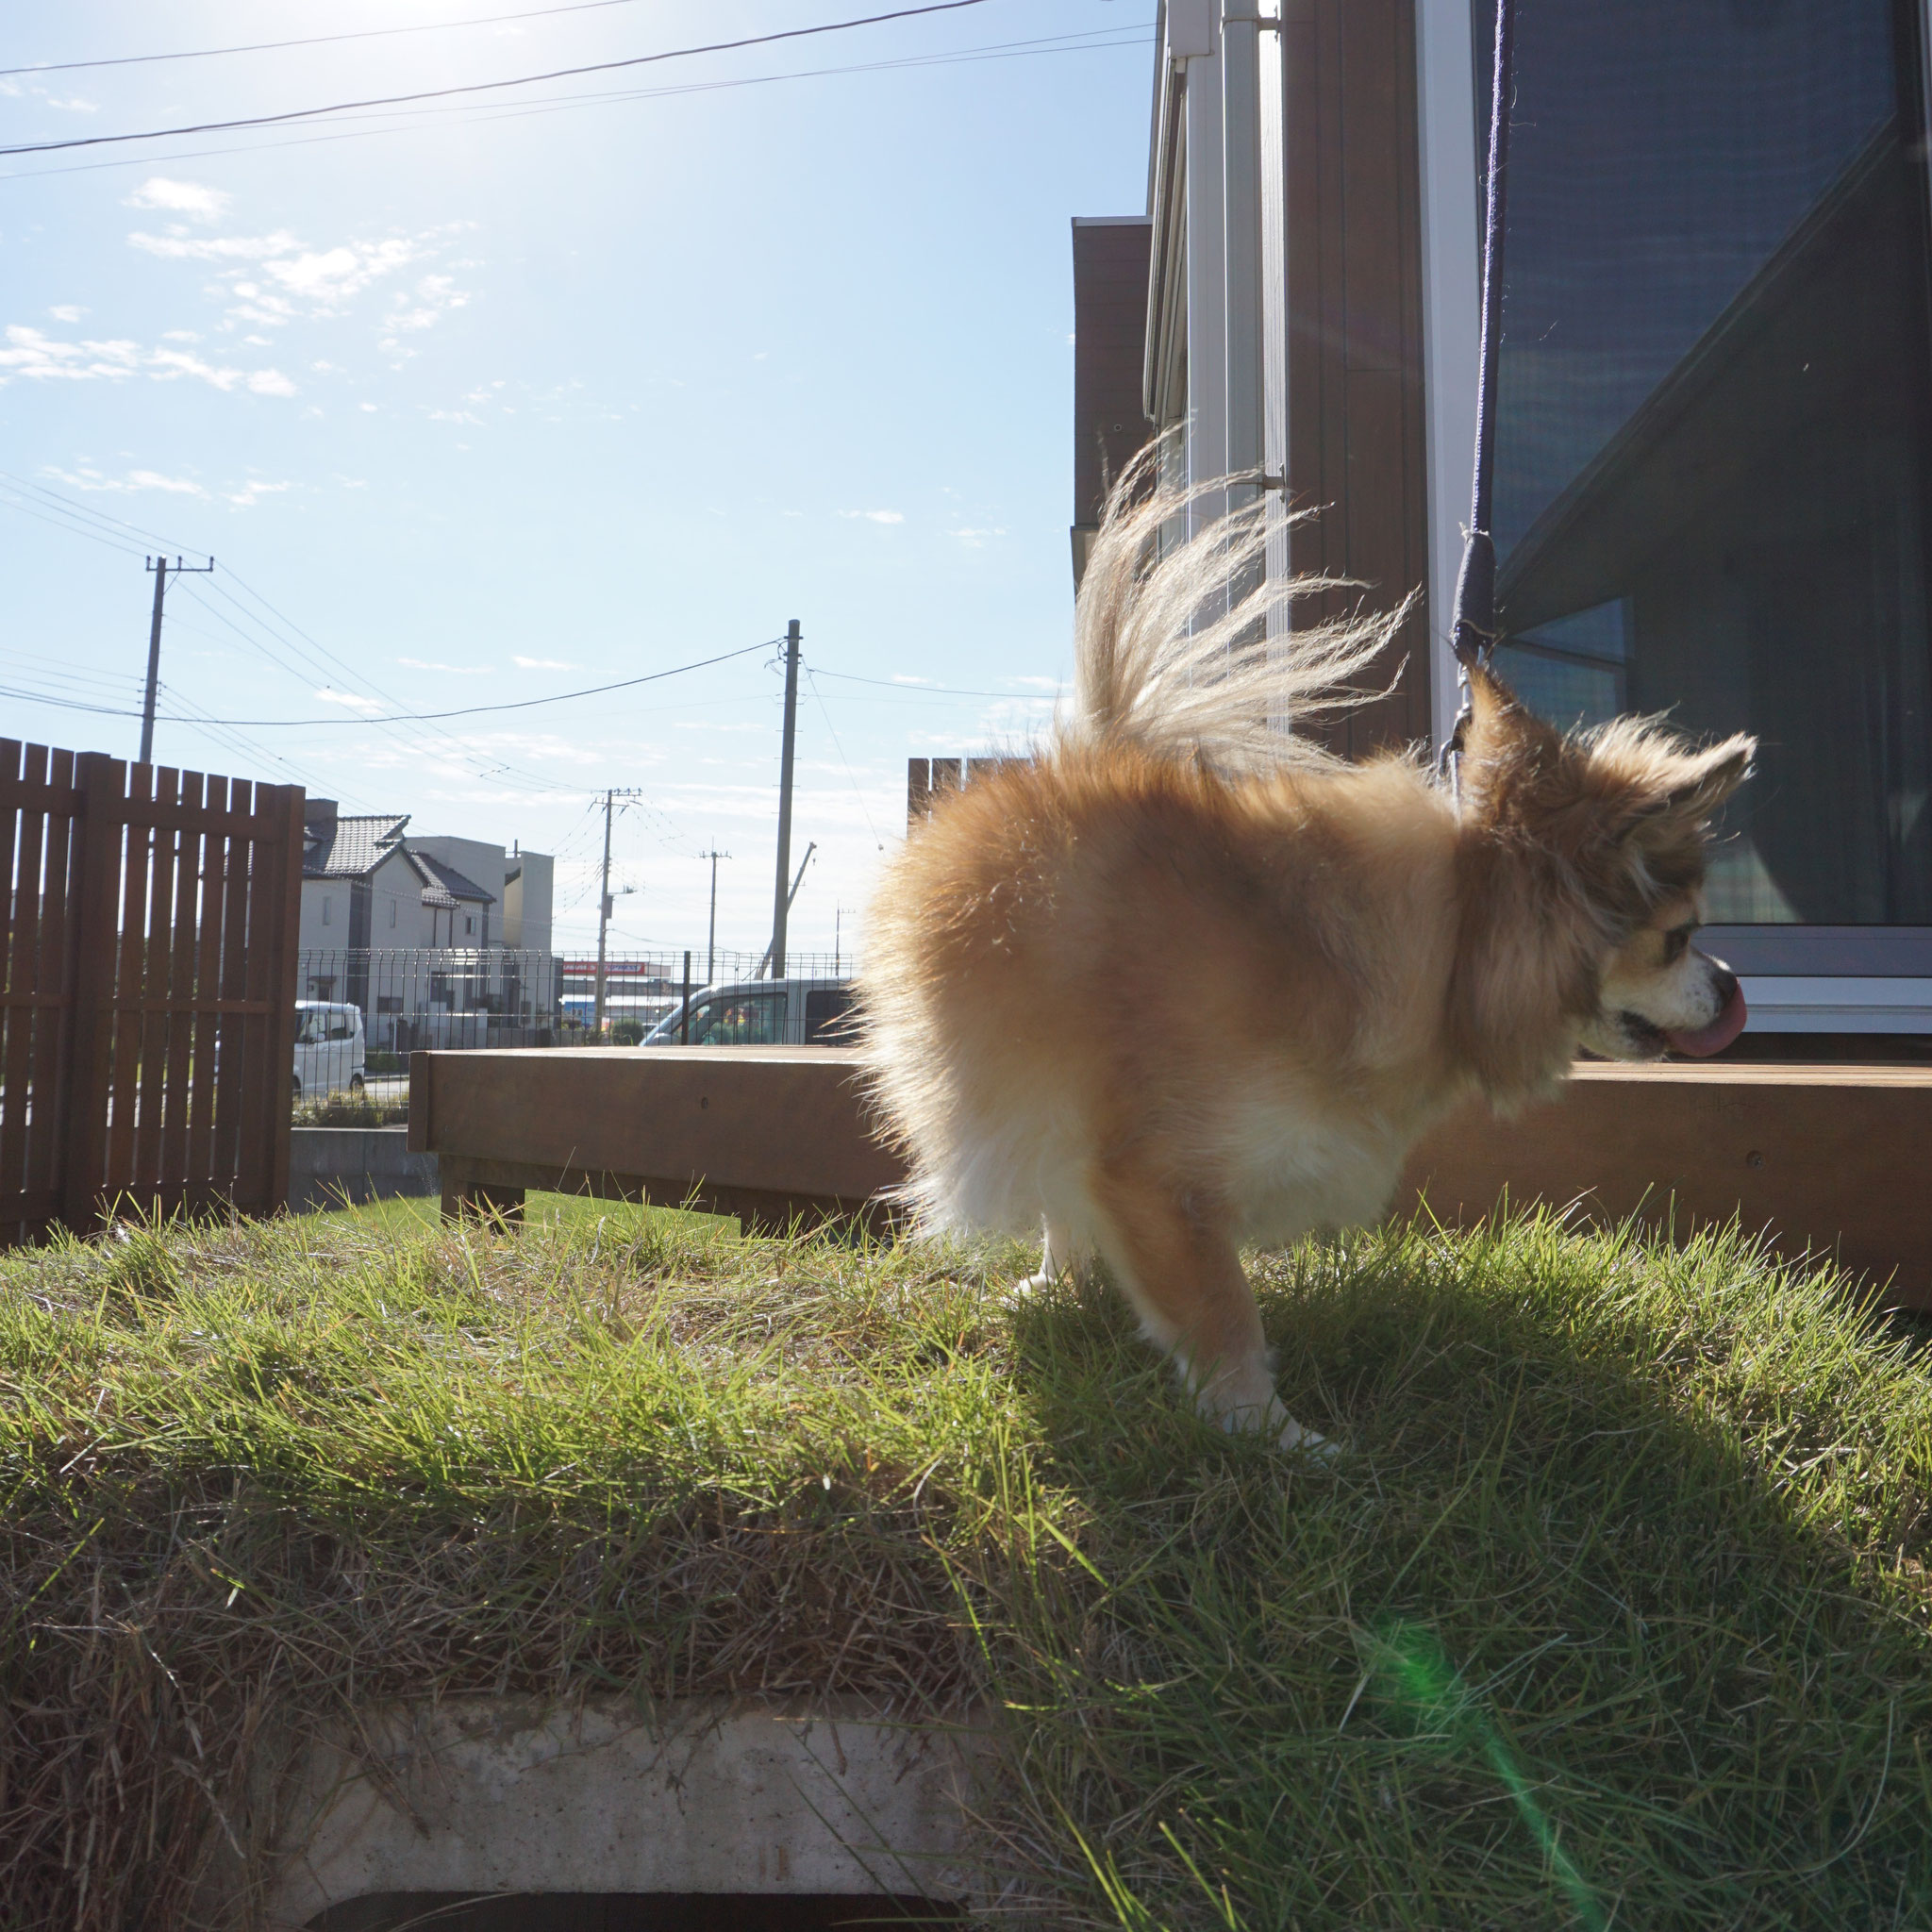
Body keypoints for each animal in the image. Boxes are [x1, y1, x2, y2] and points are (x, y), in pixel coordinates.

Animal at [861, 463, 1754, 1453]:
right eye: (1680, 938)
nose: (1731, 987)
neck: (1448, 936)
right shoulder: (1158, 1176)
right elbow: (1222, 1311)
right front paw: (1277, 1439)